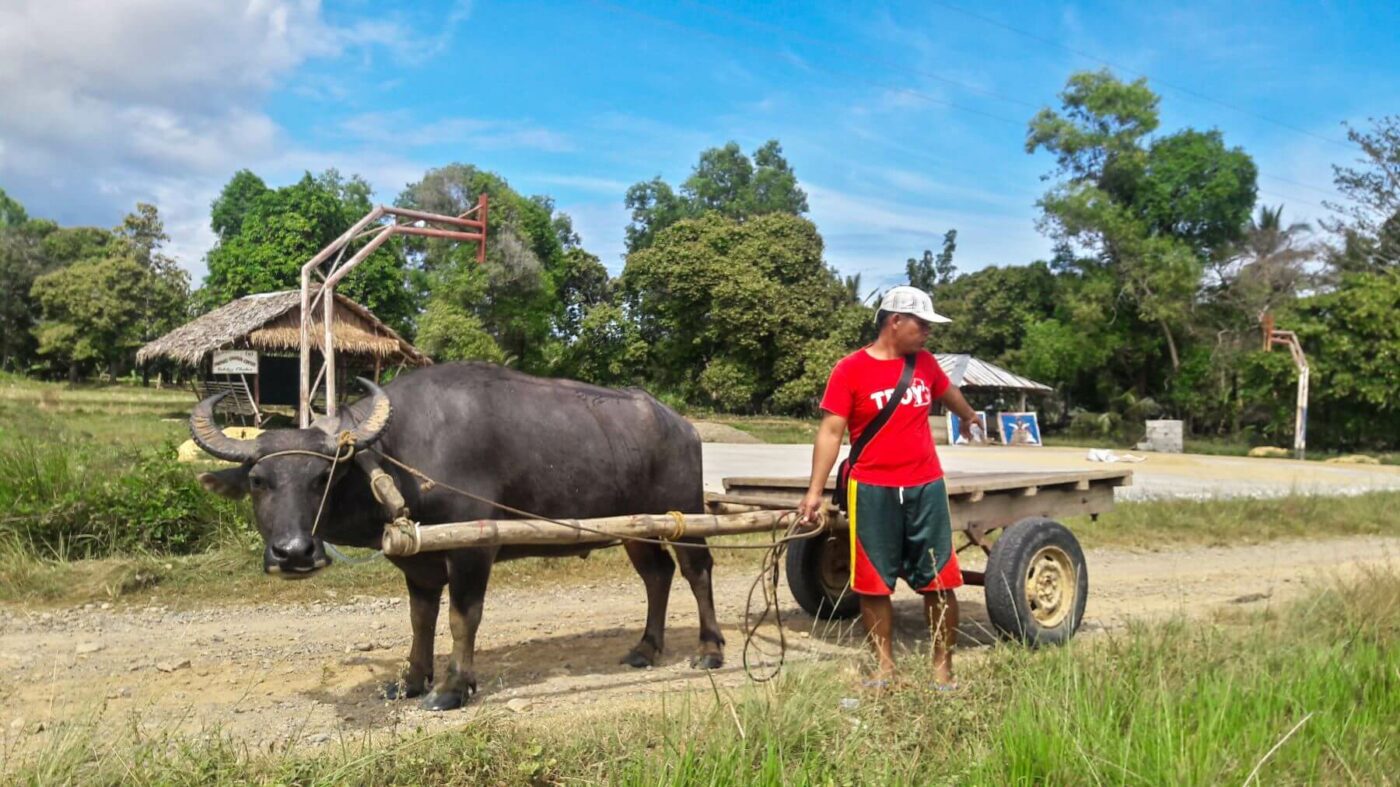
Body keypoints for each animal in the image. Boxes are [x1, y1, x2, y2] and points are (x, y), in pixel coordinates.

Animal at [191, 362, 724, 711]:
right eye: (259, 481)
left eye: (324, 478)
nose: (294, 553)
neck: (398, 459)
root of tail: (683, 426)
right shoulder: (420, 563)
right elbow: (420, 620)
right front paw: (410, 680)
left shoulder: (472, 551)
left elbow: (462, 619)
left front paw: (451, 687)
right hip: (638, 527)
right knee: (657, 576)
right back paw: (645, 649)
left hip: (685, 516)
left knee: (697, 571)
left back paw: (709, 650)